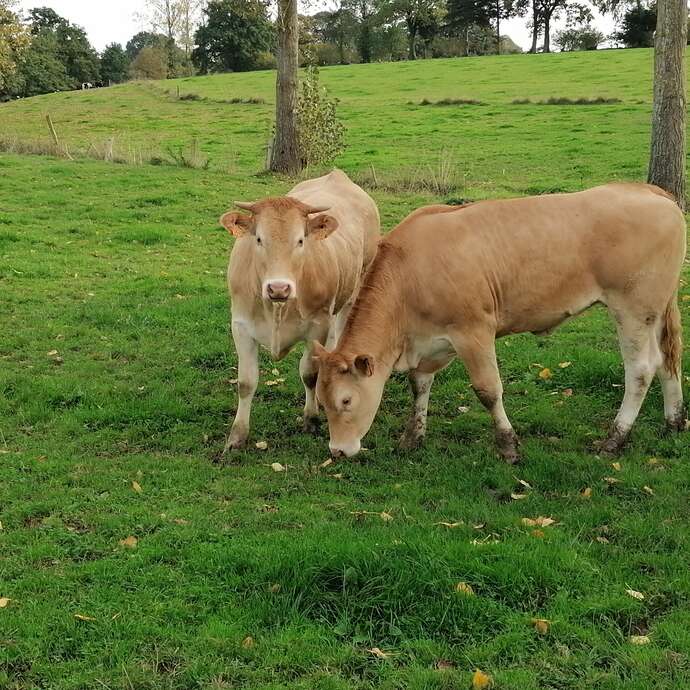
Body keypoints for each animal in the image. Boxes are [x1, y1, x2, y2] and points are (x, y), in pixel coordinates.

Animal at [220, 167, 378, 452]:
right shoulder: (240, 326)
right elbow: (246, 383)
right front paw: (237, 436)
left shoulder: (318, 326)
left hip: (355, 287)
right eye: (258, 239)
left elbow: (309, 374)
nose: (278, 288)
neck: (276, 308)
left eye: (301, 240)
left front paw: (311, 419)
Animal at [314, 184, 684, 462]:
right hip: (659, 308)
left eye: (346, 401)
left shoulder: (473, 331)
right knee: (668, 360)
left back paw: (615, 438)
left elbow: (488, 390)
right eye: (320, 399)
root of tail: (649, 191)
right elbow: (419, 386)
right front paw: (412, 438)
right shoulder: (429, 341)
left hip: (634, 308)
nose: (337, 451)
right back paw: (674, 421)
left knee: (641, 368)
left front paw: (508, 445)